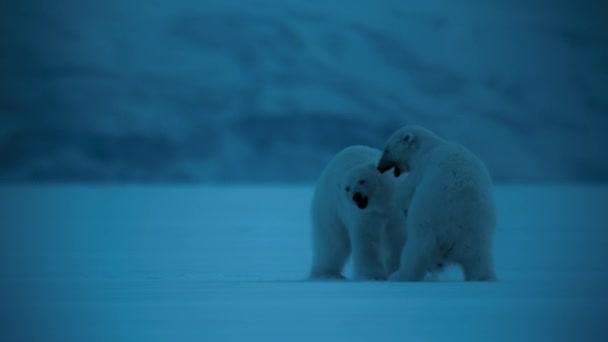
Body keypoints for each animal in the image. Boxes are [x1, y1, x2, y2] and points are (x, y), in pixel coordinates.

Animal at [308, 144, 408, 280]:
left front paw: (396, 270)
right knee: (331, 243)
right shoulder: (365, 216)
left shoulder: (394, 210)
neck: (381, 204)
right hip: (329, 209)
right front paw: (373, 276)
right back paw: (327, 273)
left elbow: (396, 237)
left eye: (362, 180)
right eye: (347, 188)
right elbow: (367, 239)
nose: (356, 196)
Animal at [378, 125, 496, 280]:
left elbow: (405, 192)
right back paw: (484, 277)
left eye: (386, 149)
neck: (428, 146)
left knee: (414, 254)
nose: (379, 167)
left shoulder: (421, 168)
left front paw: (403, 207)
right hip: (476, 234)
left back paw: (399, 275)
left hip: (426, 227)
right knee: (478, 261)